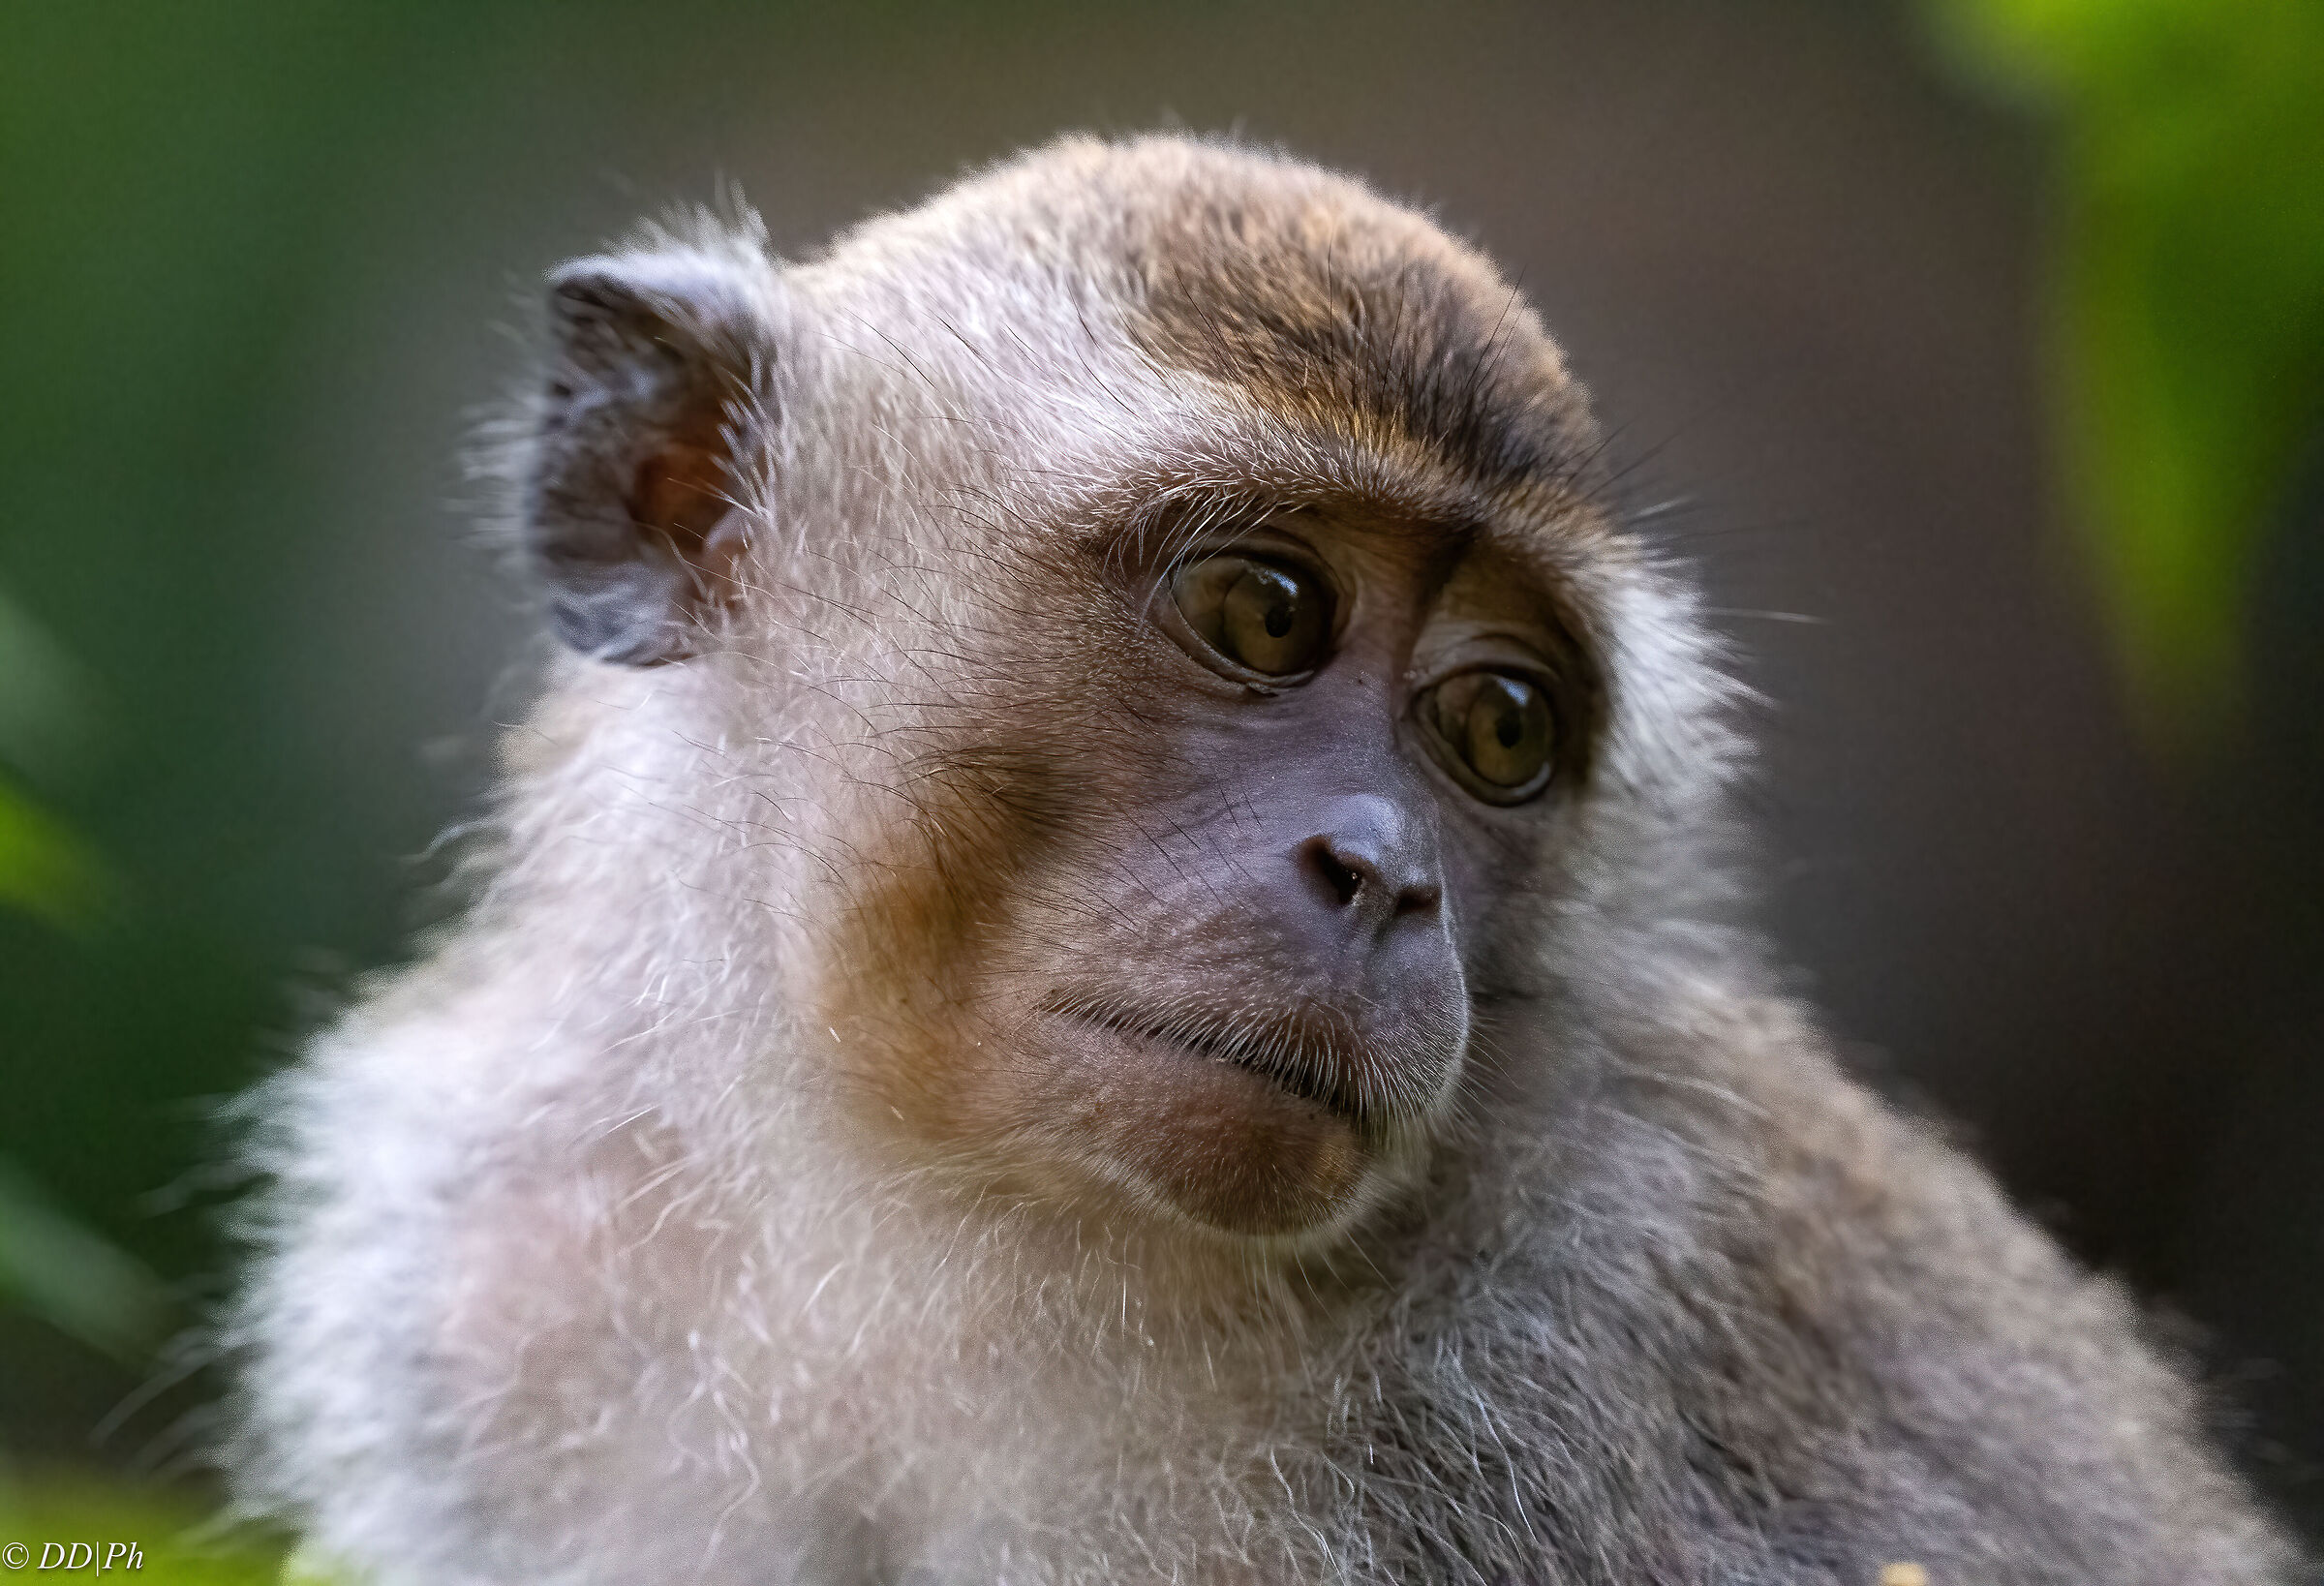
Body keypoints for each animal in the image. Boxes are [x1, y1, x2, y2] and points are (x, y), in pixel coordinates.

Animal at [228, 134, 2303, 1585]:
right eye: (1265, 609)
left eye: (1499, 728)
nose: (1383, 873)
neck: (915, 1235)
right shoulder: (493, 1272)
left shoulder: (1577, 1344)